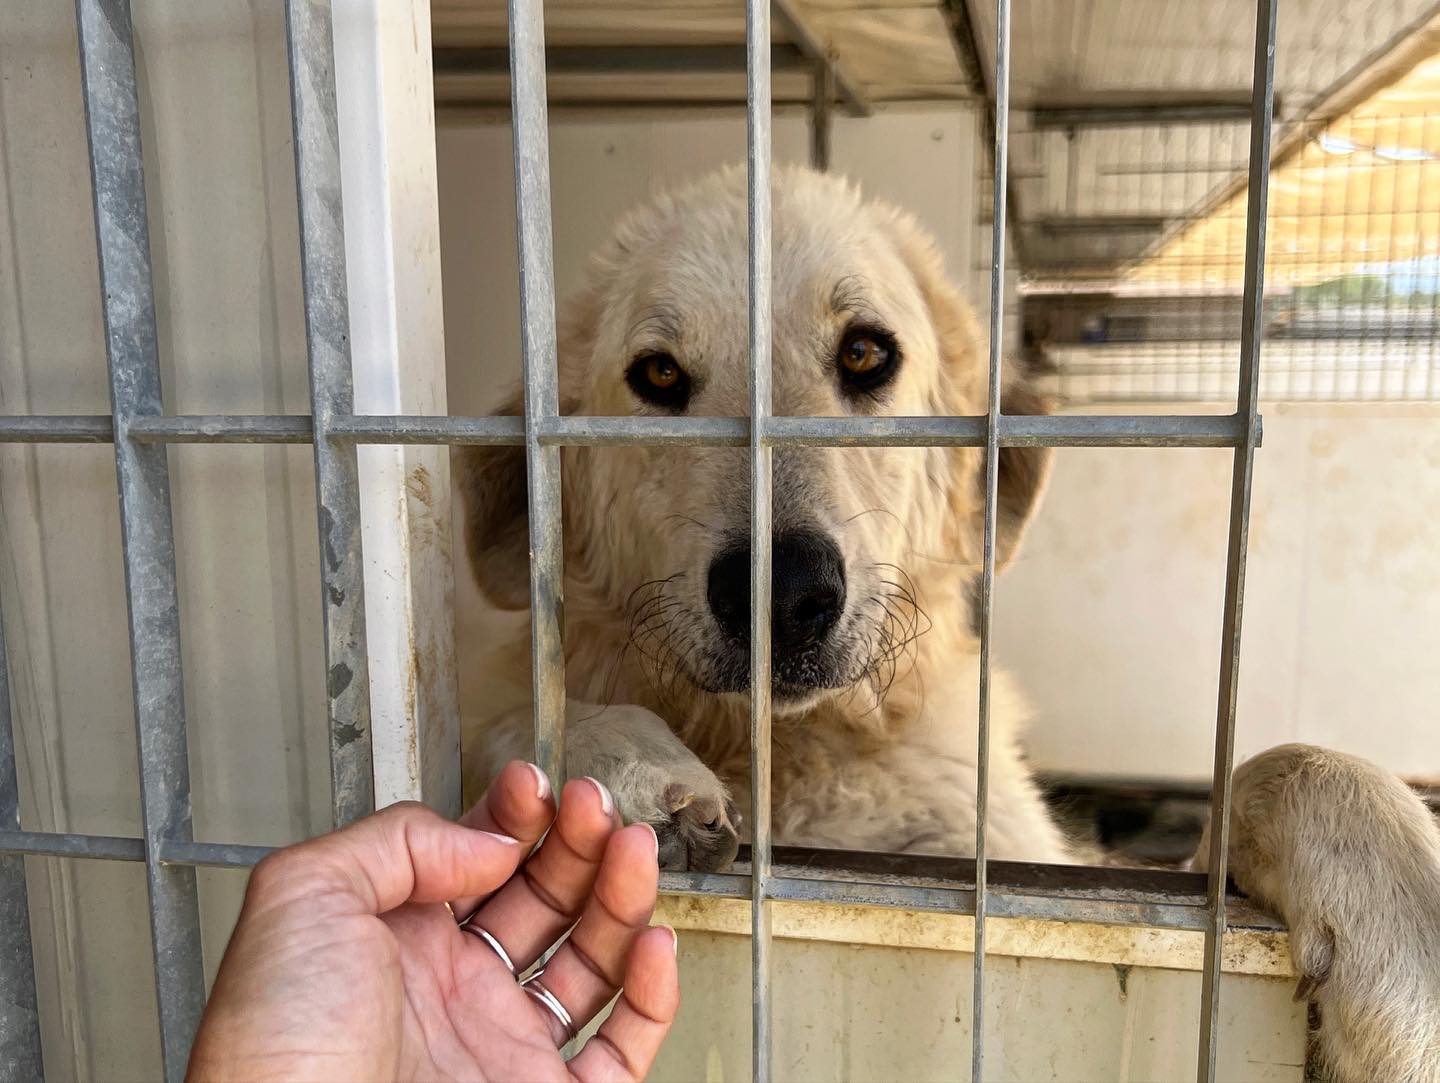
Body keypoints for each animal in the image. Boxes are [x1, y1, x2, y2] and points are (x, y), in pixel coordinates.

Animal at [460, 164, 1440, 1077]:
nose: (780, 593)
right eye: (659, 374)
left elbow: (1286, 767)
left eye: (865, 353)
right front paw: (619, 758)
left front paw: (1412, 923)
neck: (797, 757)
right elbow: (511, 720)